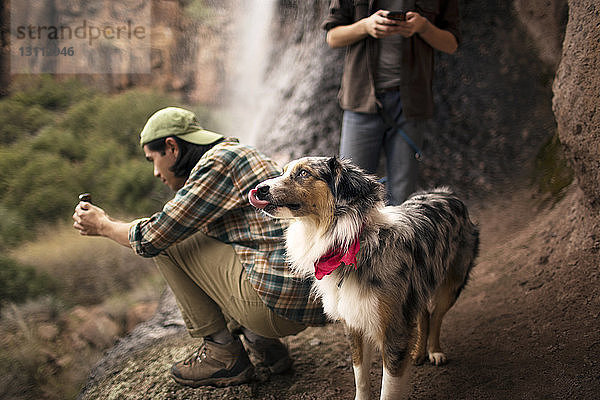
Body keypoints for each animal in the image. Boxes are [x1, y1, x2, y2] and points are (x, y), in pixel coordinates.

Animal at [248, 157, 478, 400]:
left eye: (303, 173)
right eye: (283, 171)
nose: (259, 189)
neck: (354, 242)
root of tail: (446, 193)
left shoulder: (394, 330)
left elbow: (389, 388)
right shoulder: (354, 322)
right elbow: (361, 376)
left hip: (451, 286)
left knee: (437, 316)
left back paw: (434, 351)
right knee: (424, 314)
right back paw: (418, 352)